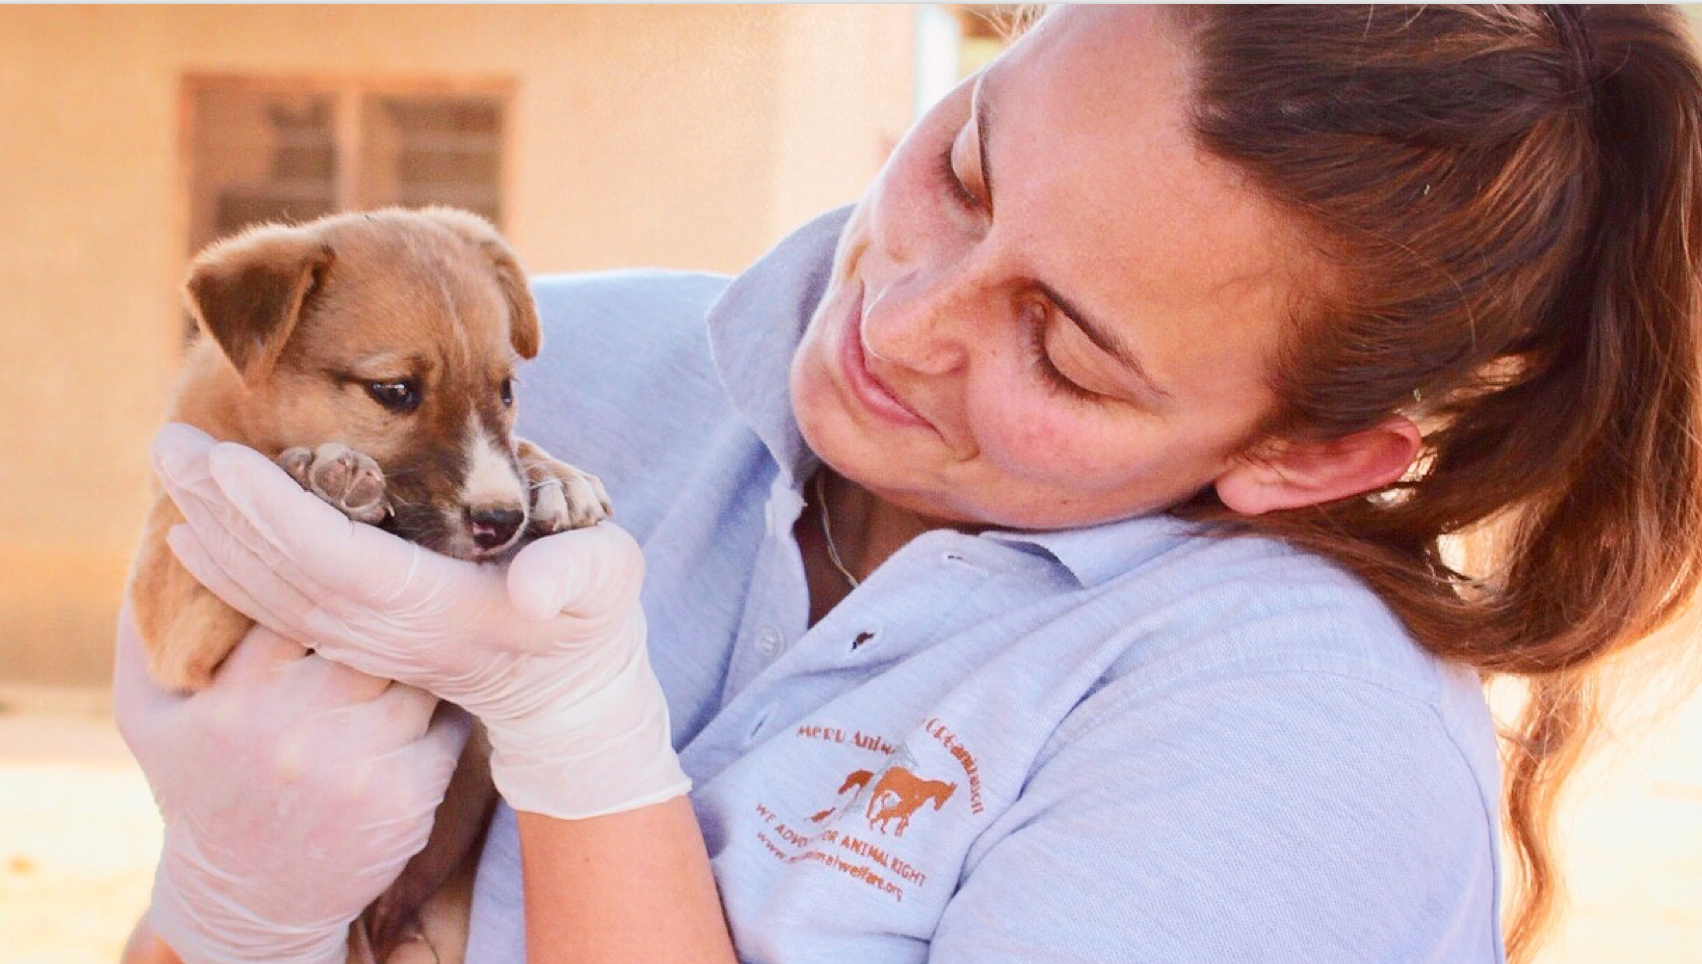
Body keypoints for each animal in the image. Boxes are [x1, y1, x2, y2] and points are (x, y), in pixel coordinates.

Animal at [127, 206, 605, 964]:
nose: (501, 521)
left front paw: (556, 475)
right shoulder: (174, 615)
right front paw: (323, 475)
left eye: (506, 391)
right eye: (394, 391)